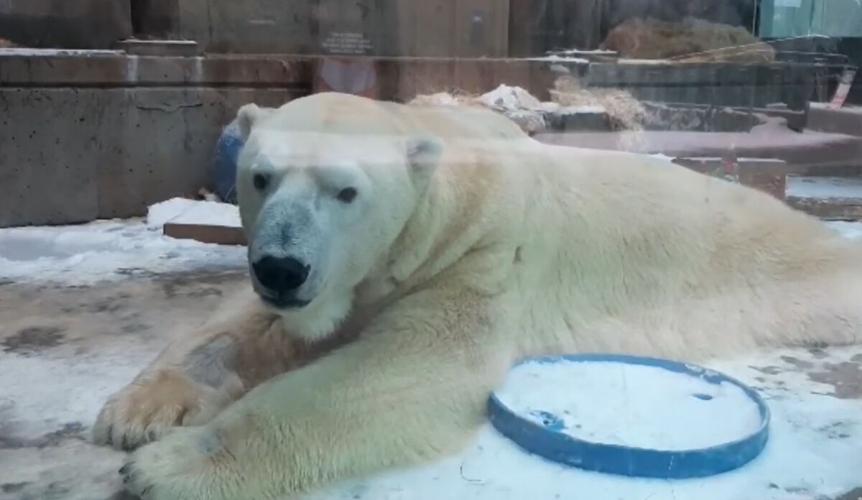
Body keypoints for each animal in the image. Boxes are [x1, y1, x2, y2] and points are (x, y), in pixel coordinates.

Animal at [94, 92, 862, 500]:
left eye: (346, 191)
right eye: (260, 177)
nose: (282, 267)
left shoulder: (480, 258)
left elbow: (406, 373)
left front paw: (168, 465)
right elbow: (241, 327)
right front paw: (138, 412)